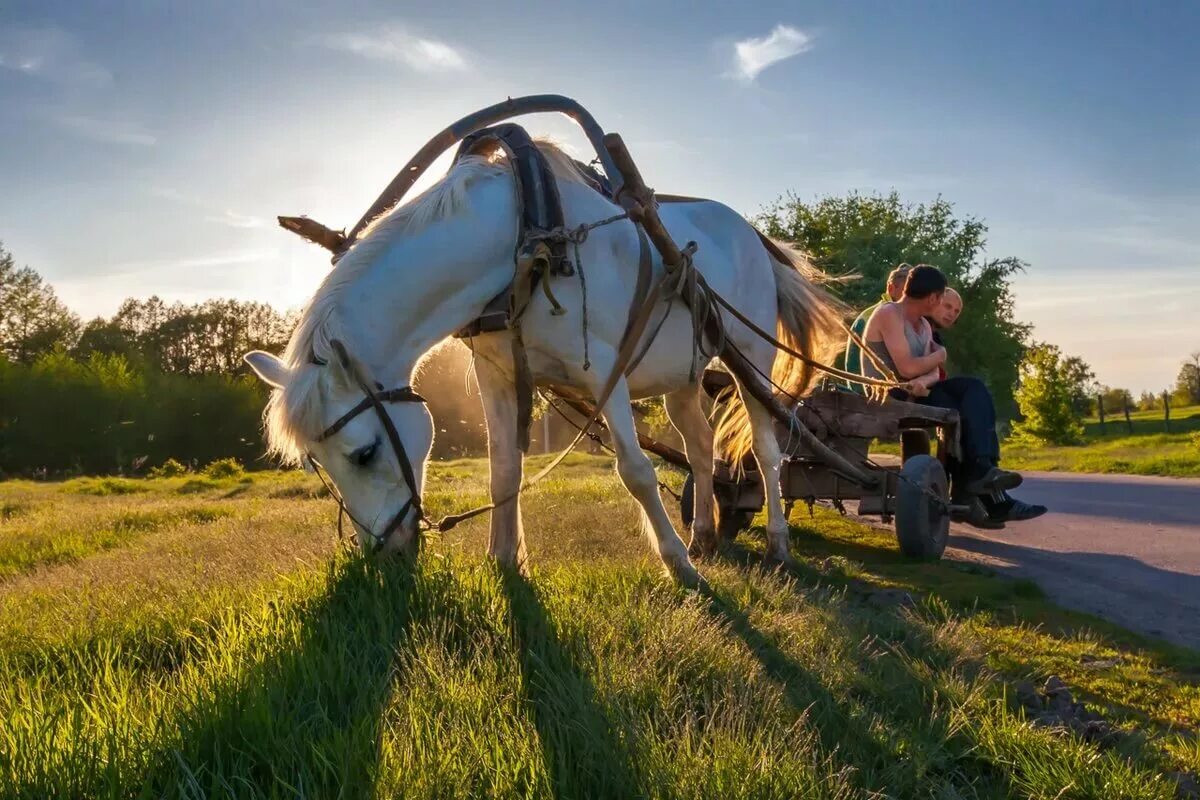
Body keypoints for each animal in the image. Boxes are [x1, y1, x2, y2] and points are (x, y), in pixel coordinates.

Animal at [246, 142, 844, 582]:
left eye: (365, 453)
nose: (387, 556)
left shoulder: (605, 371)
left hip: (750, 361)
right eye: (317, 465)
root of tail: (752, 235)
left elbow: (636, 471)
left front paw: (677, 566)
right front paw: (504, 561)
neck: (524, 241)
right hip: (684, 375)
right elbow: (503, 471)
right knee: (699, 447)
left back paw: (775, 543)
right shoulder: (498, 376)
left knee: (766, 452)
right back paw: (704, 535)